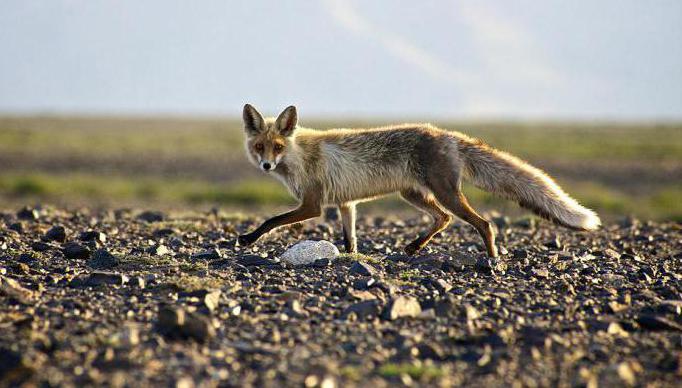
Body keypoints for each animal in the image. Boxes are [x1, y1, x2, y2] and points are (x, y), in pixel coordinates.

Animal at [236, 104, 596, 258]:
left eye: (277, 147)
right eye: (260, 147)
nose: (266, 165)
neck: (298, 156)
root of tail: (448, 134)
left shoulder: (313, 205)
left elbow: (272, 220)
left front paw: (249, 239)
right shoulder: (345, 204)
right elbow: (350, 239)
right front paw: (352, 258)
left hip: (444, 193)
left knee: (483, 223)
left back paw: (492, 258)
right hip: (414, 195)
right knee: (444, 219)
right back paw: (413, 247)